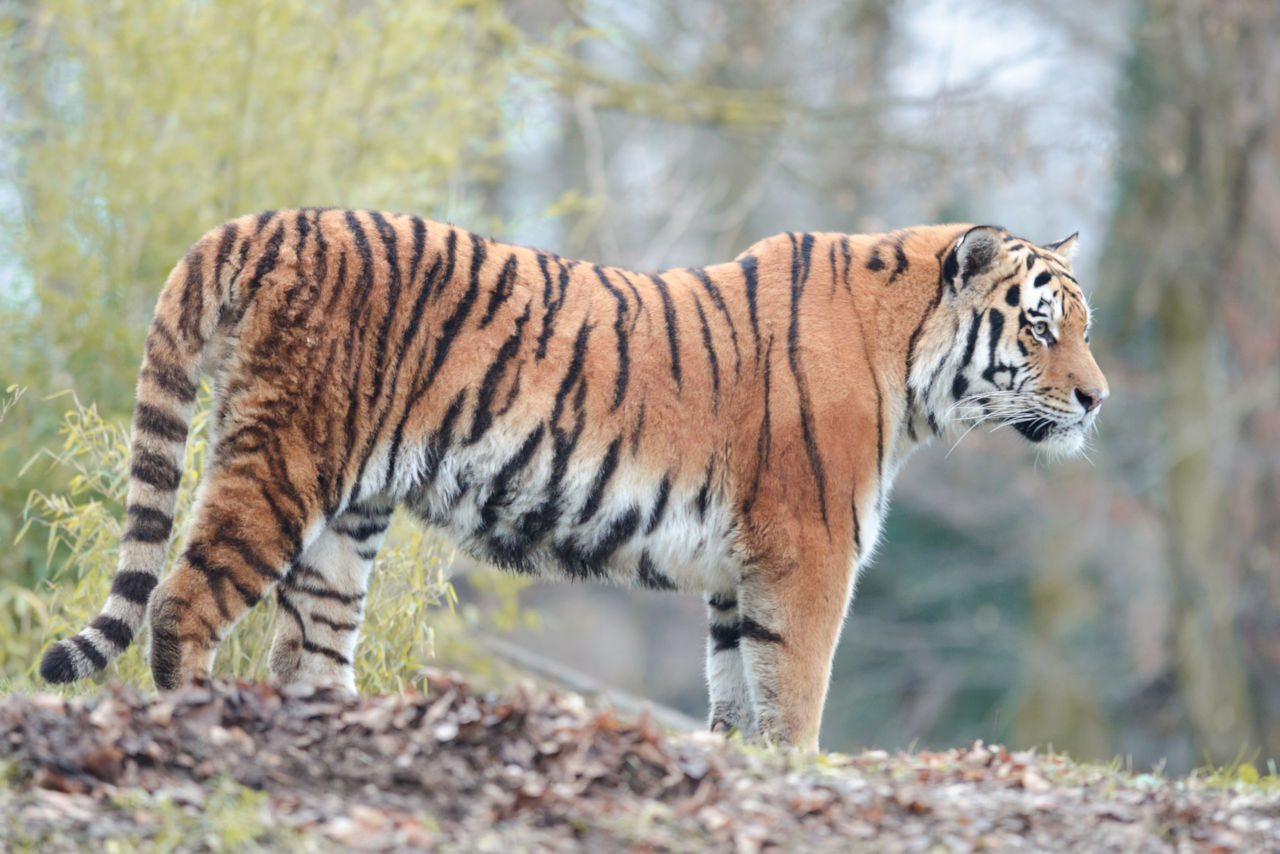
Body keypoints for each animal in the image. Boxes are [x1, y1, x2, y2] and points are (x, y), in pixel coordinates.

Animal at [37, 209, 1100, 752]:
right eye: (1042, 325)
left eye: (1080, 327)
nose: (1097, 399)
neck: (911, 365)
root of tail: (263, 222)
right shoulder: (810, 554)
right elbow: (796, 696)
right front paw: (800, 779)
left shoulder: (740, 574)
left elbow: (738, 700)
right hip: (286, 463)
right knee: (181, 604)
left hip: (349, 519)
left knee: (305, 653)